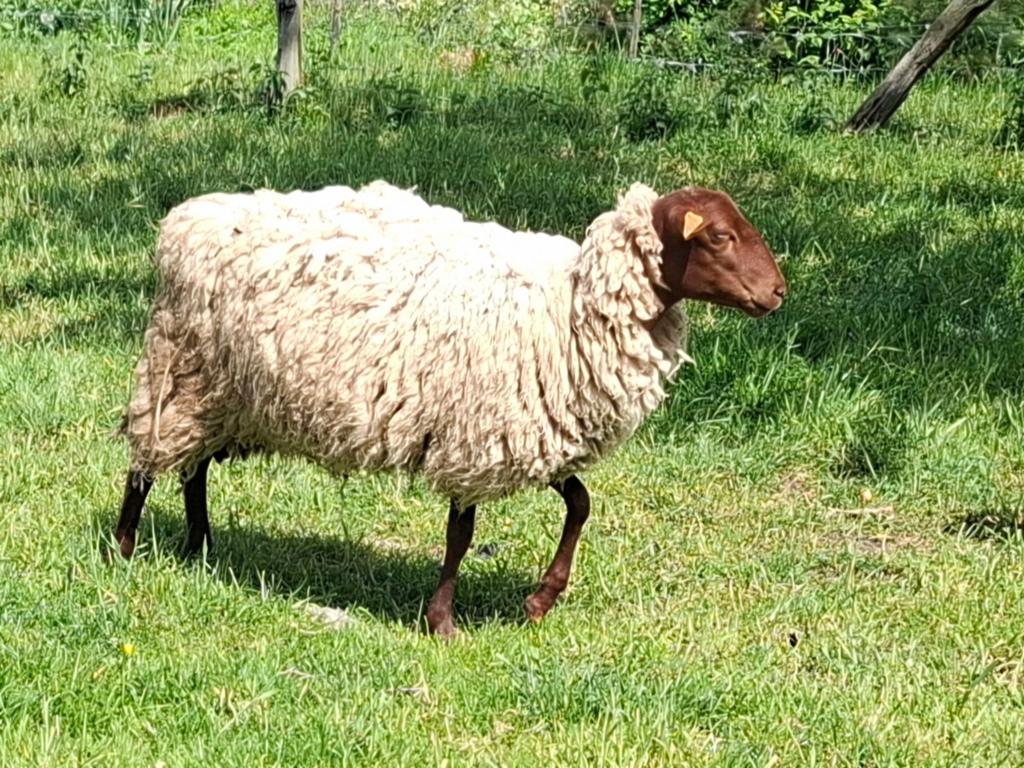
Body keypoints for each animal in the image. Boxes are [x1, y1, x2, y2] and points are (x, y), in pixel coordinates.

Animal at [113, 180, 786, 636]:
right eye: (720, 236)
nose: (779, 293)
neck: (569, 303)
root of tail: (190, 218)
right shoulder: (474, 432)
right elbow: (461, 535)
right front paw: (442, 622)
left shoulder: (533, 430)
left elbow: (581, 504)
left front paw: (539, 601)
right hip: (183, 369)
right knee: (146, 463)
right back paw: (123, 548)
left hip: (224, 394)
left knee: (193, 467)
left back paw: (200, 545)